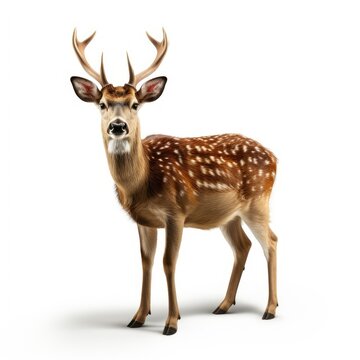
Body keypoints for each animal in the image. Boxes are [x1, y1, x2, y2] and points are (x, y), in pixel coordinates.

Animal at [70, 28, 278, 334]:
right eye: (102, 105)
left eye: (135, 104)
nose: (118, 126)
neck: (142, 182)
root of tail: (275, 157)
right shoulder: (144, 221)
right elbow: (146, 262)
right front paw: (137, 317)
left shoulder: (176, 212)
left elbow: (169, 262)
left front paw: (171, 322)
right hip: (230, 215)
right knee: (243, 247)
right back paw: (223, 305)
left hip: (258, 201)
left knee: (271, 242)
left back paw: (270, 309)